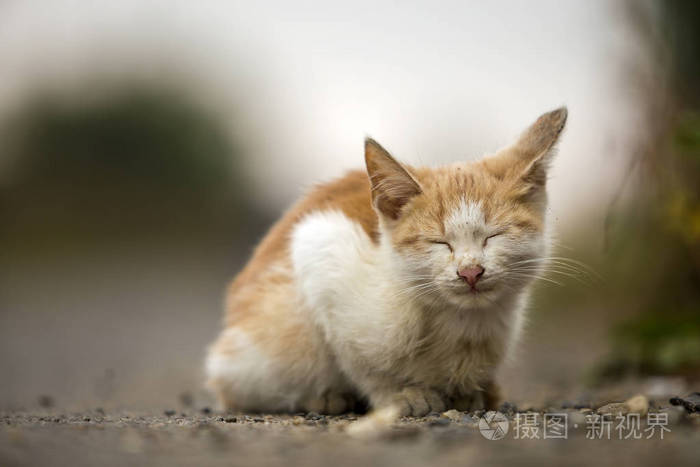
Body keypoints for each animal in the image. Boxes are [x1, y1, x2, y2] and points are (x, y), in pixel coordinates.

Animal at [205, 107, 568, 420]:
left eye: (494, 236)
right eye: (439, 242)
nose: (470, 272)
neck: (461, 324)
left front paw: (470, 393)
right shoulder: (319, 242)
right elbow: (360, 362)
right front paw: (399, 395)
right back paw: (325, 397)